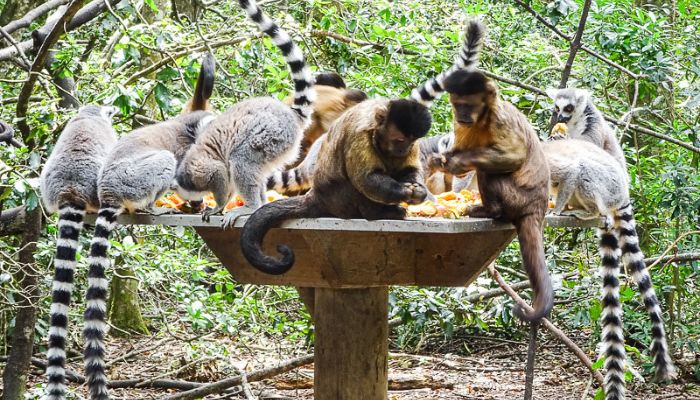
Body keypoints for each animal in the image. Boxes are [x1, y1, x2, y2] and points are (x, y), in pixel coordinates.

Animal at [241, 99, 432, 276]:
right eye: (399, 140)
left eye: (411, 141)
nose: (404, 149)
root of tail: (316, 196)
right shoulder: (360, 133)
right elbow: (366, 179)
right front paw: (404, 192)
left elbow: (409, 169)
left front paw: (419, 192)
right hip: (337, 201)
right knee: (353, 185)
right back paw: (377, 213)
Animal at [430, 71, 556, 322]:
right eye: (457, 105)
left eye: (469, 105)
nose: (462, 115)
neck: (481, 120)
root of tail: (538, 206)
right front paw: (443, 159)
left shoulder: (500, 118)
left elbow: (514, 156)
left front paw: (455, 162)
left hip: (518, 197)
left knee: (488, 170)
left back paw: (491, 211)